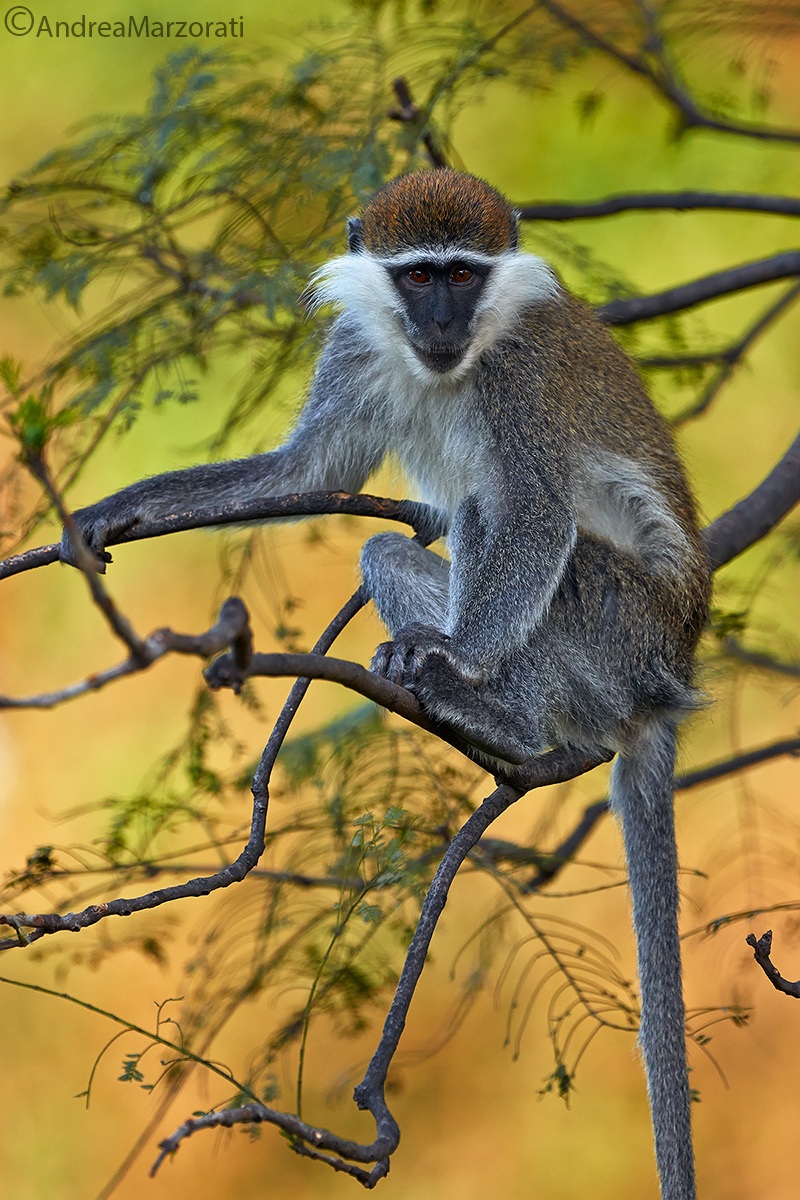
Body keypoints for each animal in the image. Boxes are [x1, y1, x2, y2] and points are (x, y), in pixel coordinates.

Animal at [62, 168, 710, 1200]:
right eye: (418, 277)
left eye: (463, 274)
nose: (443, 319)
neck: (451, 363)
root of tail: (668, 682)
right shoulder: (357, 349)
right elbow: (301, 471)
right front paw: (119, 510)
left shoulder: (520, 379)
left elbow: (534, 511)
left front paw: (459, 662)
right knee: (392, 545)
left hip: (624, 632)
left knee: (507, 518)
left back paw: (490, 708)